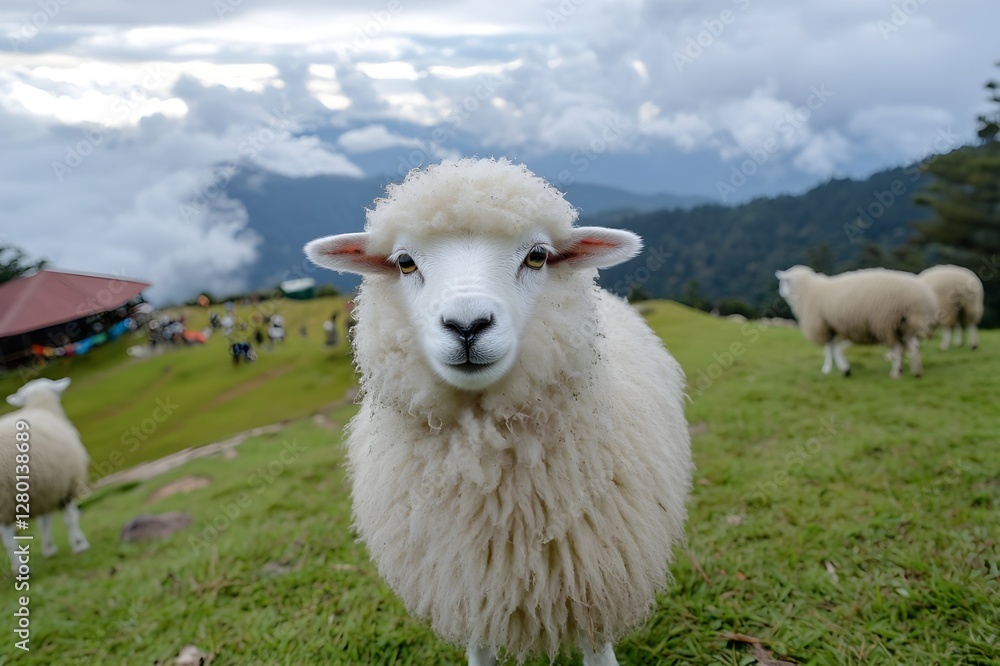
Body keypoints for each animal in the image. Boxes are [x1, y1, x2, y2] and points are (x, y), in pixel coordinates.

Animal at [0, 377, 90, 574]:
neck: (41, 407)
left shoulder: (45, 490)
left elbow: (45, 523)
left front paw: (49, 549)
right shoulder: (67, 484)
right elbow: (71, 519)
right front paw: (79, 545)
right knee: (8, 537)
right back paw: (21, 568)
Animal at [775, 265, 938, 378]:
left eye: (782, 282)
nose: (781, 293)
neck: (808, 290)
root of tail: (925, 296)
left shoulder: (822, 325)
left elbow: (830, 348)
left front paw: (831, 368)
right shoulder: (833, 326)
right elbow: (834, 347)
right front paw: (840, 367)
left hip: (887, 321)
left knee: (898, 347)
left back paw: (896, 373)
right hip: (908, 322)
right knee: (913, 346)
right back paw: (916, 372)